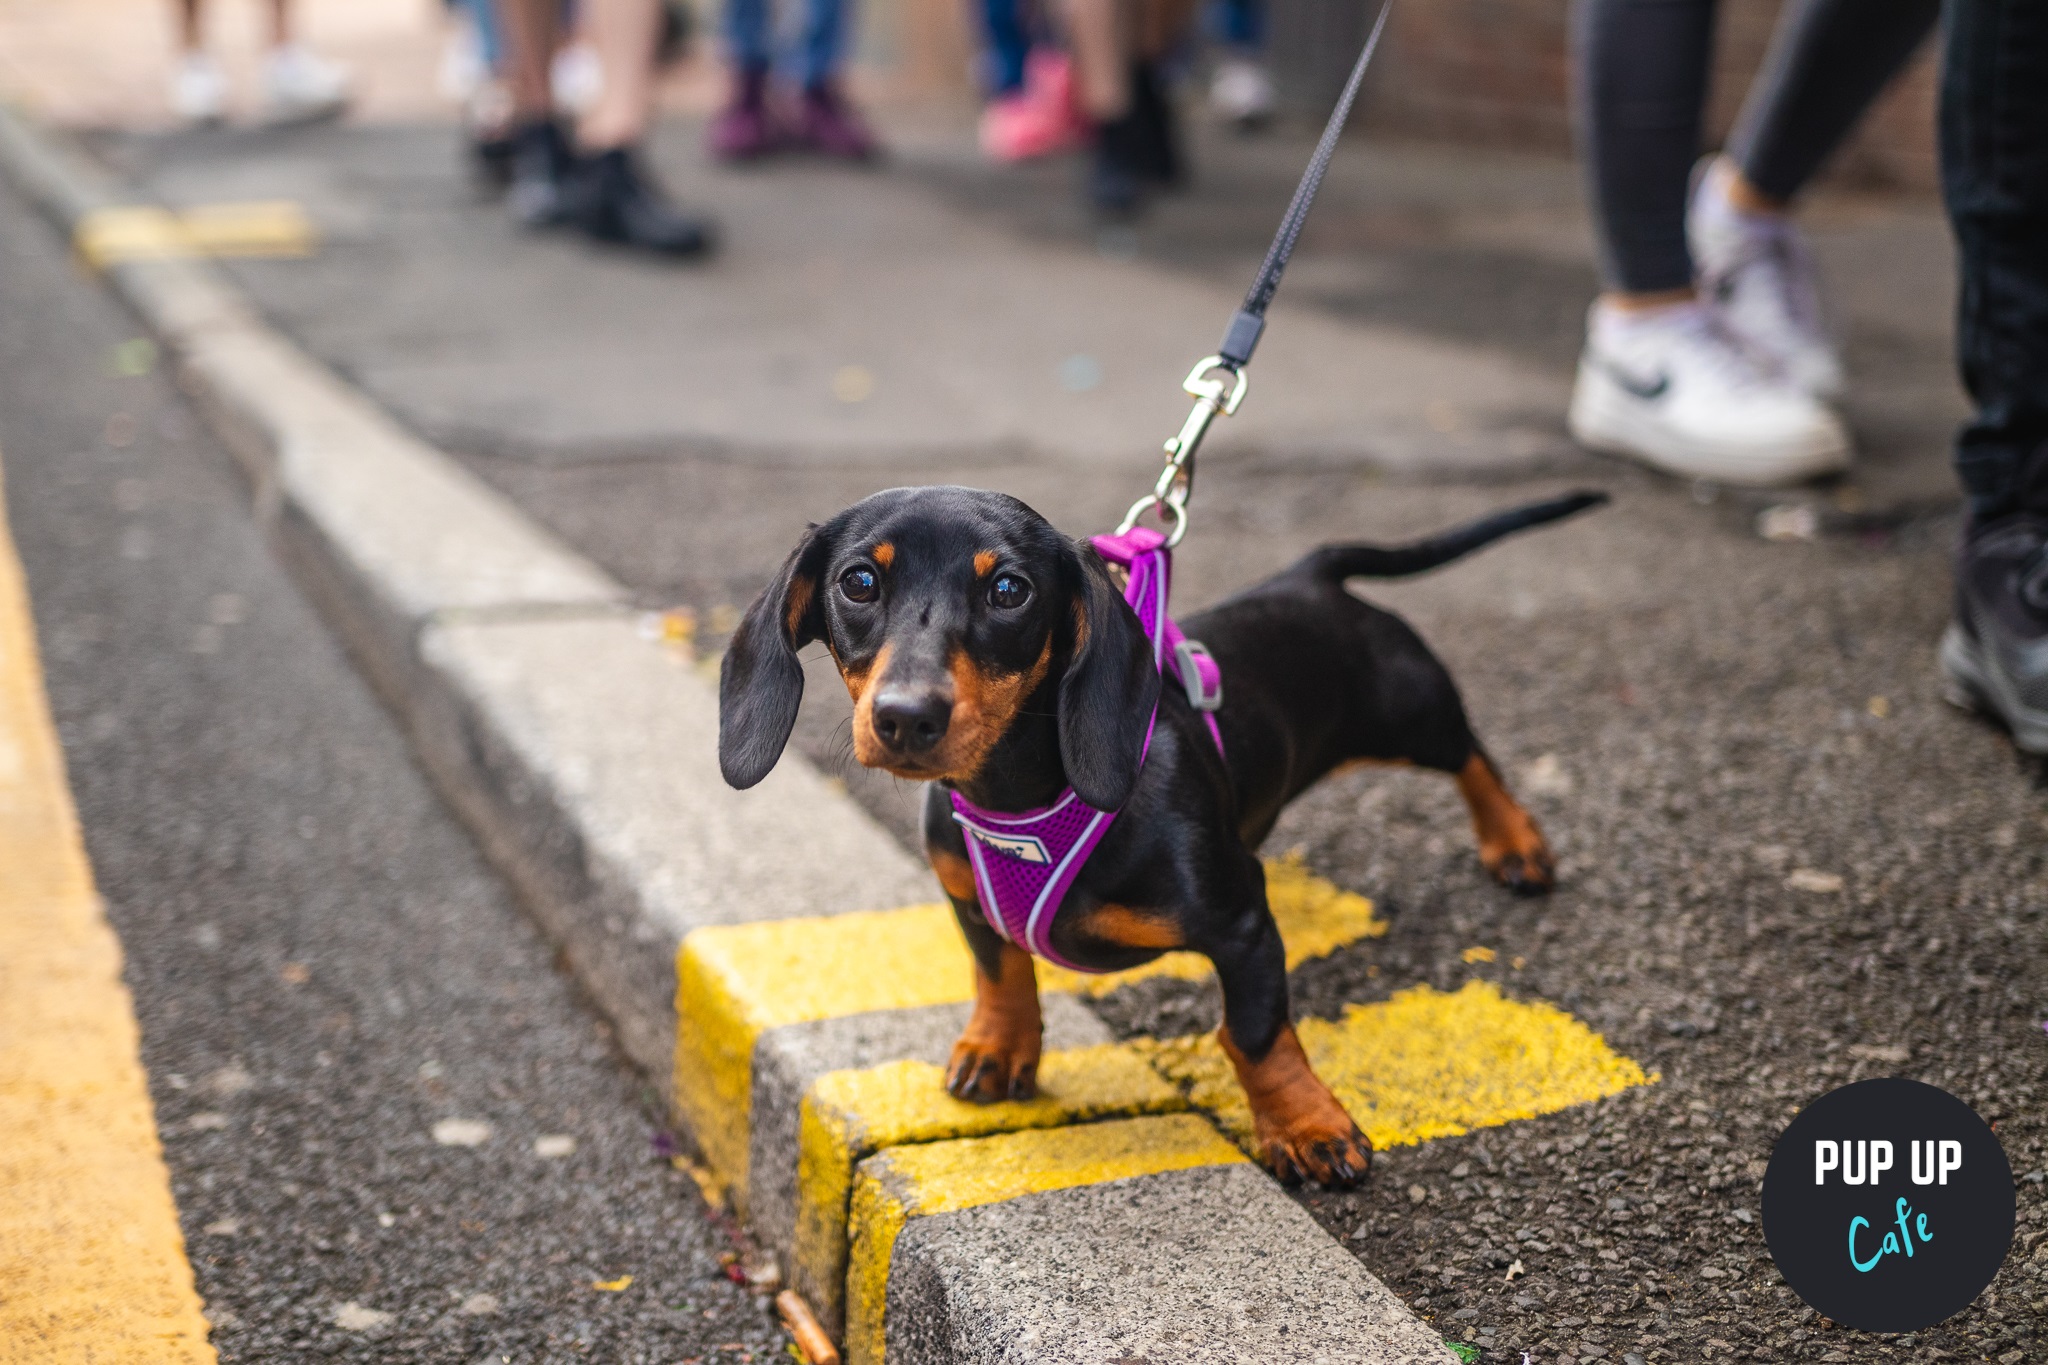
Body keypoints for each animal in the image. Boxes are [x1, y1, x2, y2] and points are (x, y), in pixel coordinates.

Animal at [716, 485, 1597, 1186]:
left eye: (1009, 588)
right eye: (859, 581)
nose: (905, 717)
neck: (1025, 803)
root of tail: (1307, 575)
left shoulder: (1243, 924)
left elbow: (1256, 1033)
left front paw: (1307, 1127)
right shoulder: (965, 898)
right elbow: (1001, 970)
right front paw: (999, 1048)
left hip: (1409, 712)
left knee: (1471, 753)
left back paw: (1515, 842)